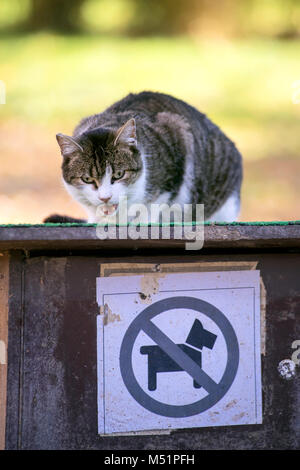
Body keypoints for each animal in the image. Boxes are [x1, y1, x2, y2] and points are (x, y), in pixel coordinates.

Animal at [44, 92, 241, 225]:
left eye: (119, 174)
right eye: (87, 179)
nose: (105, 198)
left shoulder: (177, 137)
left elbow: (157, 202)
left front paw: (144, 221)